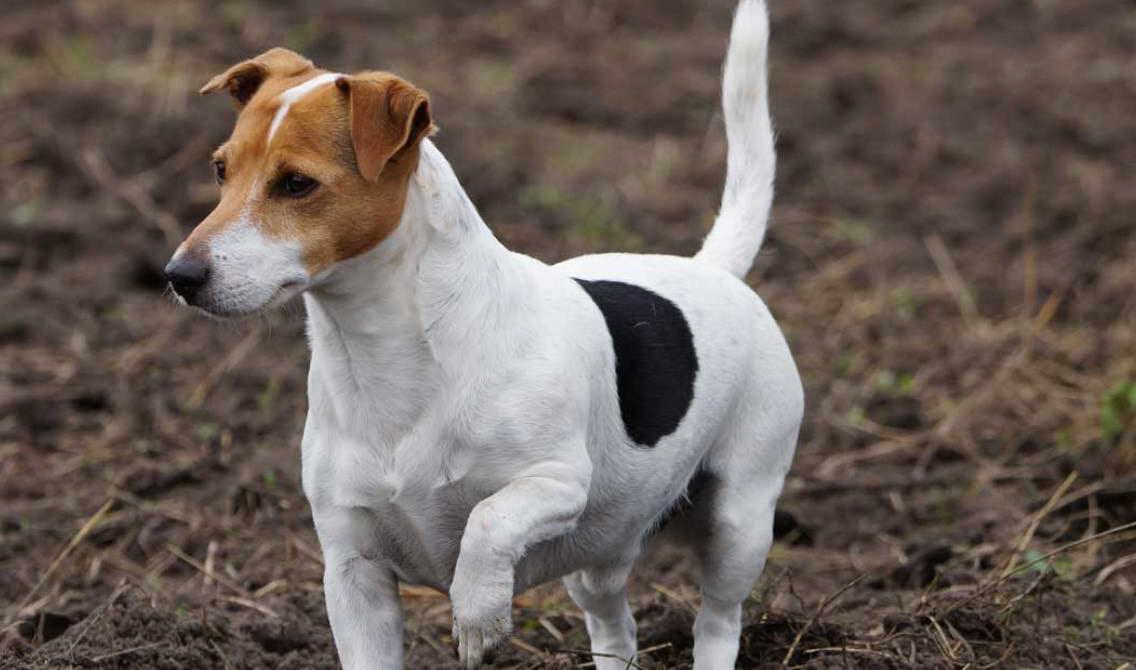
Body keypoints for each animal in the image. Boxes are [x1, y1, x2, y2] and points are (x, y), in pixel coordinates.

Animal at [164, 2, 804, 667]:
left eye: (296, 183)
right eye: (220, 170)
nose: (179, 276)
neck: (386, 353)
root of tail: (712, 268)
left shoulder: (558, 484)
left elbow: (488, 522)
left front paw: (477, 613)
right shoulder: (353, 573)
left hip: (738, 521)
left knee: (718, 619)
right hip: (602, 546)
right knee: (615, 626)